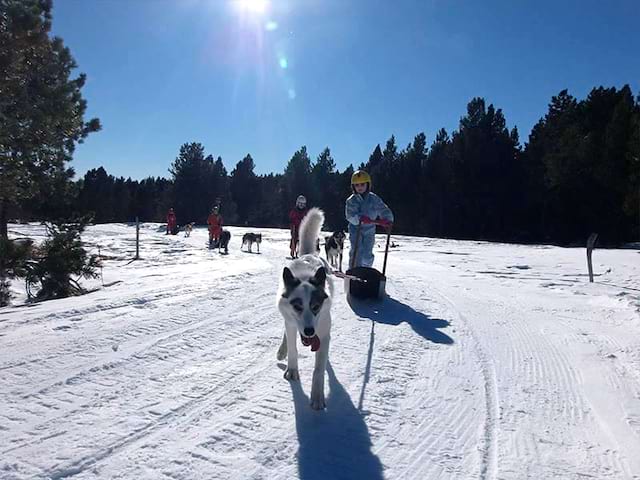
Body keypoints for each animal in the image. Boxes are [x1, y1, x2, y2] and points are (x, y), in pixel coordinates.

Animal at [276, 208, 336, 410]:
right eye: (297, 306)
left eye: (316, 307)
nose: (309, 331)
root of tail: (310, 254)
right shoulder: (292, 322)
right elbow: (293, 349)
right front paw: (292, 369)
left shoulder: (323, 333)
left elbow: (319, 369)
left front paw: (317, 395)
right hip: (288, 320)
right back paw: (282, 350)